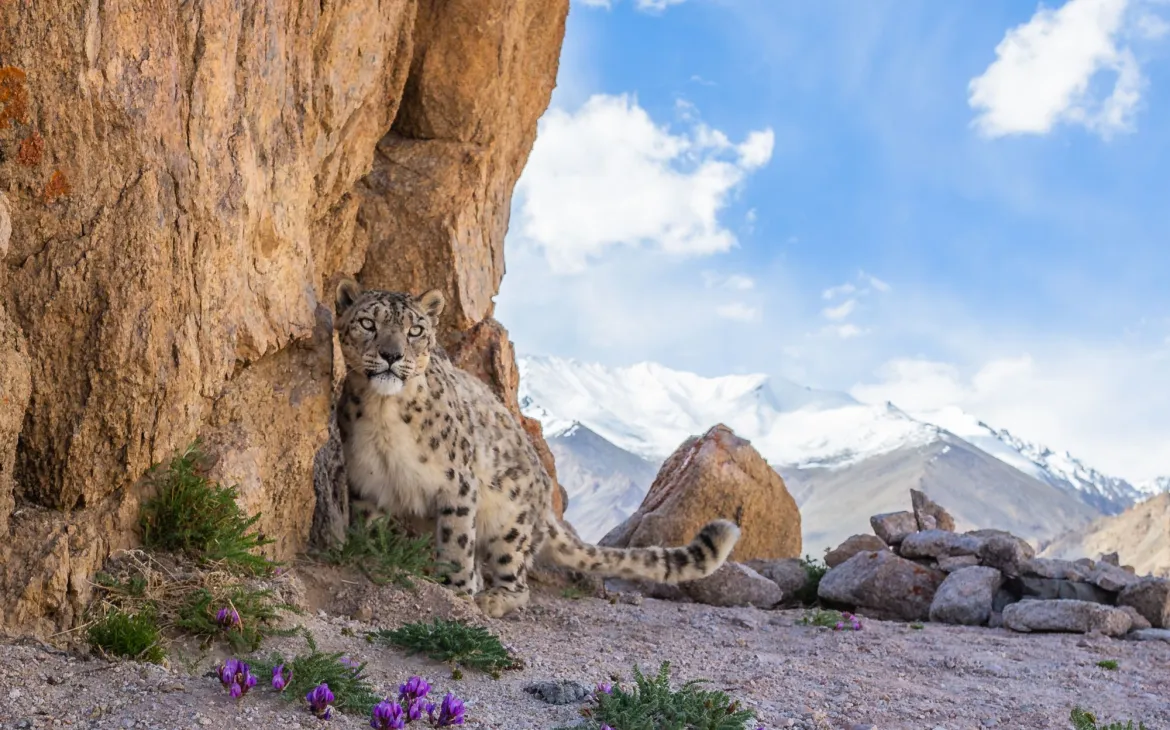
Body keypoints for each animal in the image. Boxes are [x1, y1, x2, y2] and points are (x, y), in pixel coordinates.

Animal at [332, 277, 741, 617]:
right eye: (368, 324)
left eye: (415, 330)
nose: (392, 355)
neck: (384, 413)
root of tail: (544, 496)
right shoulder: (366, 482)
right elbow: (367, 528)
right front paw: (367, 555)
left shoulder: (458, 485)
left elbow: (456, 544)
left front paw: (457, 594)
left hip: (509, 523)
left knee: (515, 579)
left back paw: (493, 599)